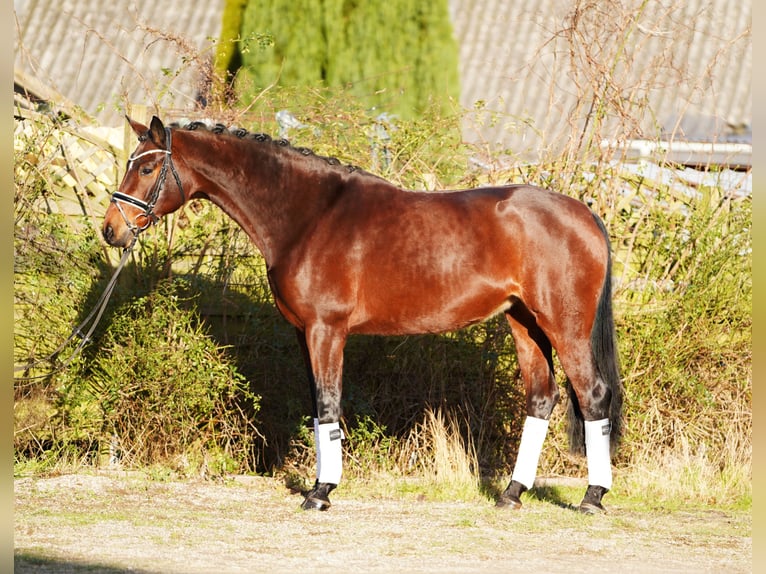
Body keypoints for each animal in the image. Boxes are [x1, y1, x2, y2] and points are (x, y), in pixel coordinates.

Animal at [102, 115, 624, 516]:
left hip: (564, 326)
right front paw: (321, 485)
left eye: (147, 166)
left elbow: (329, 404)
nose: (111, 230)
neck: (309, 215)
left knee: (593, 396)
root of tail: (583, 214)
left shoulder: (326, 330)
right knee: (541, 398)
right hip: (525, 323)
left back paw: (593, 497)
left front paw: (320, 492)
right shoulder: (304, 332)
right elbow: (317, 406)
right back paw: (512, 493)